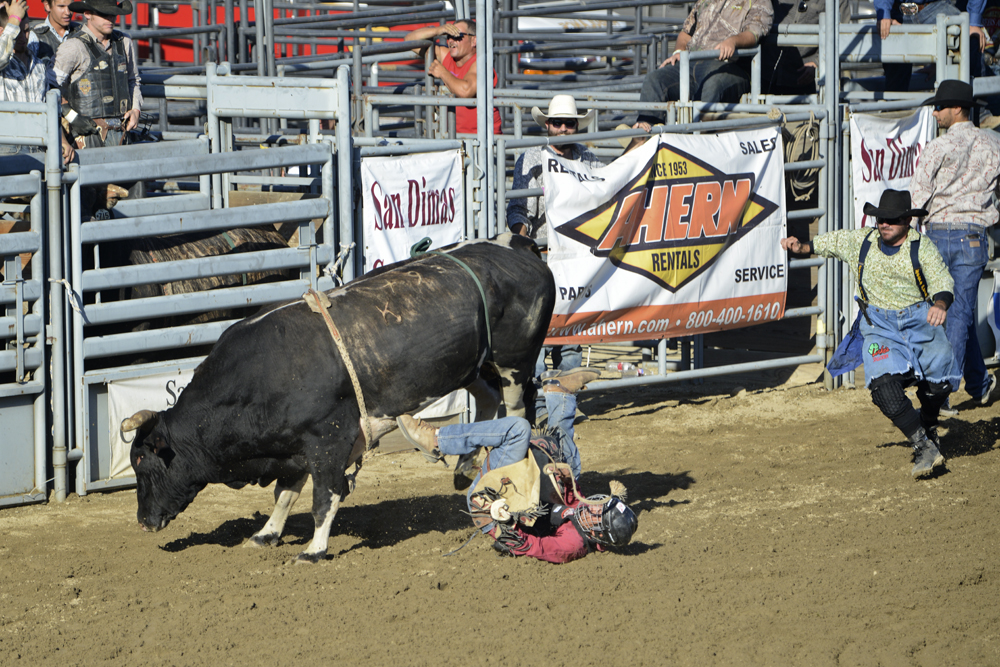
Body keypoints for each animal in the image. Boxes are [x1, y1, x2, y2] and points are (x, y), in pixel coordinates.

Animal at [119, 237, 556, 560]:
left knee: (517, 410)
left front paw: (314, 549)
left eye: (141, 461)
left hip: (515, 361)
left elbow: (323, 497)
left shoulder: (326, 440)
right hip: (473, 364)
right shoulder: (293, 445)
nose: (143, 521)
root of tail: (518, 245)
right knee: (486, 398)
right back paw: (464, 468)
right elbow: (285, 494)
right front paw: (267, 533)